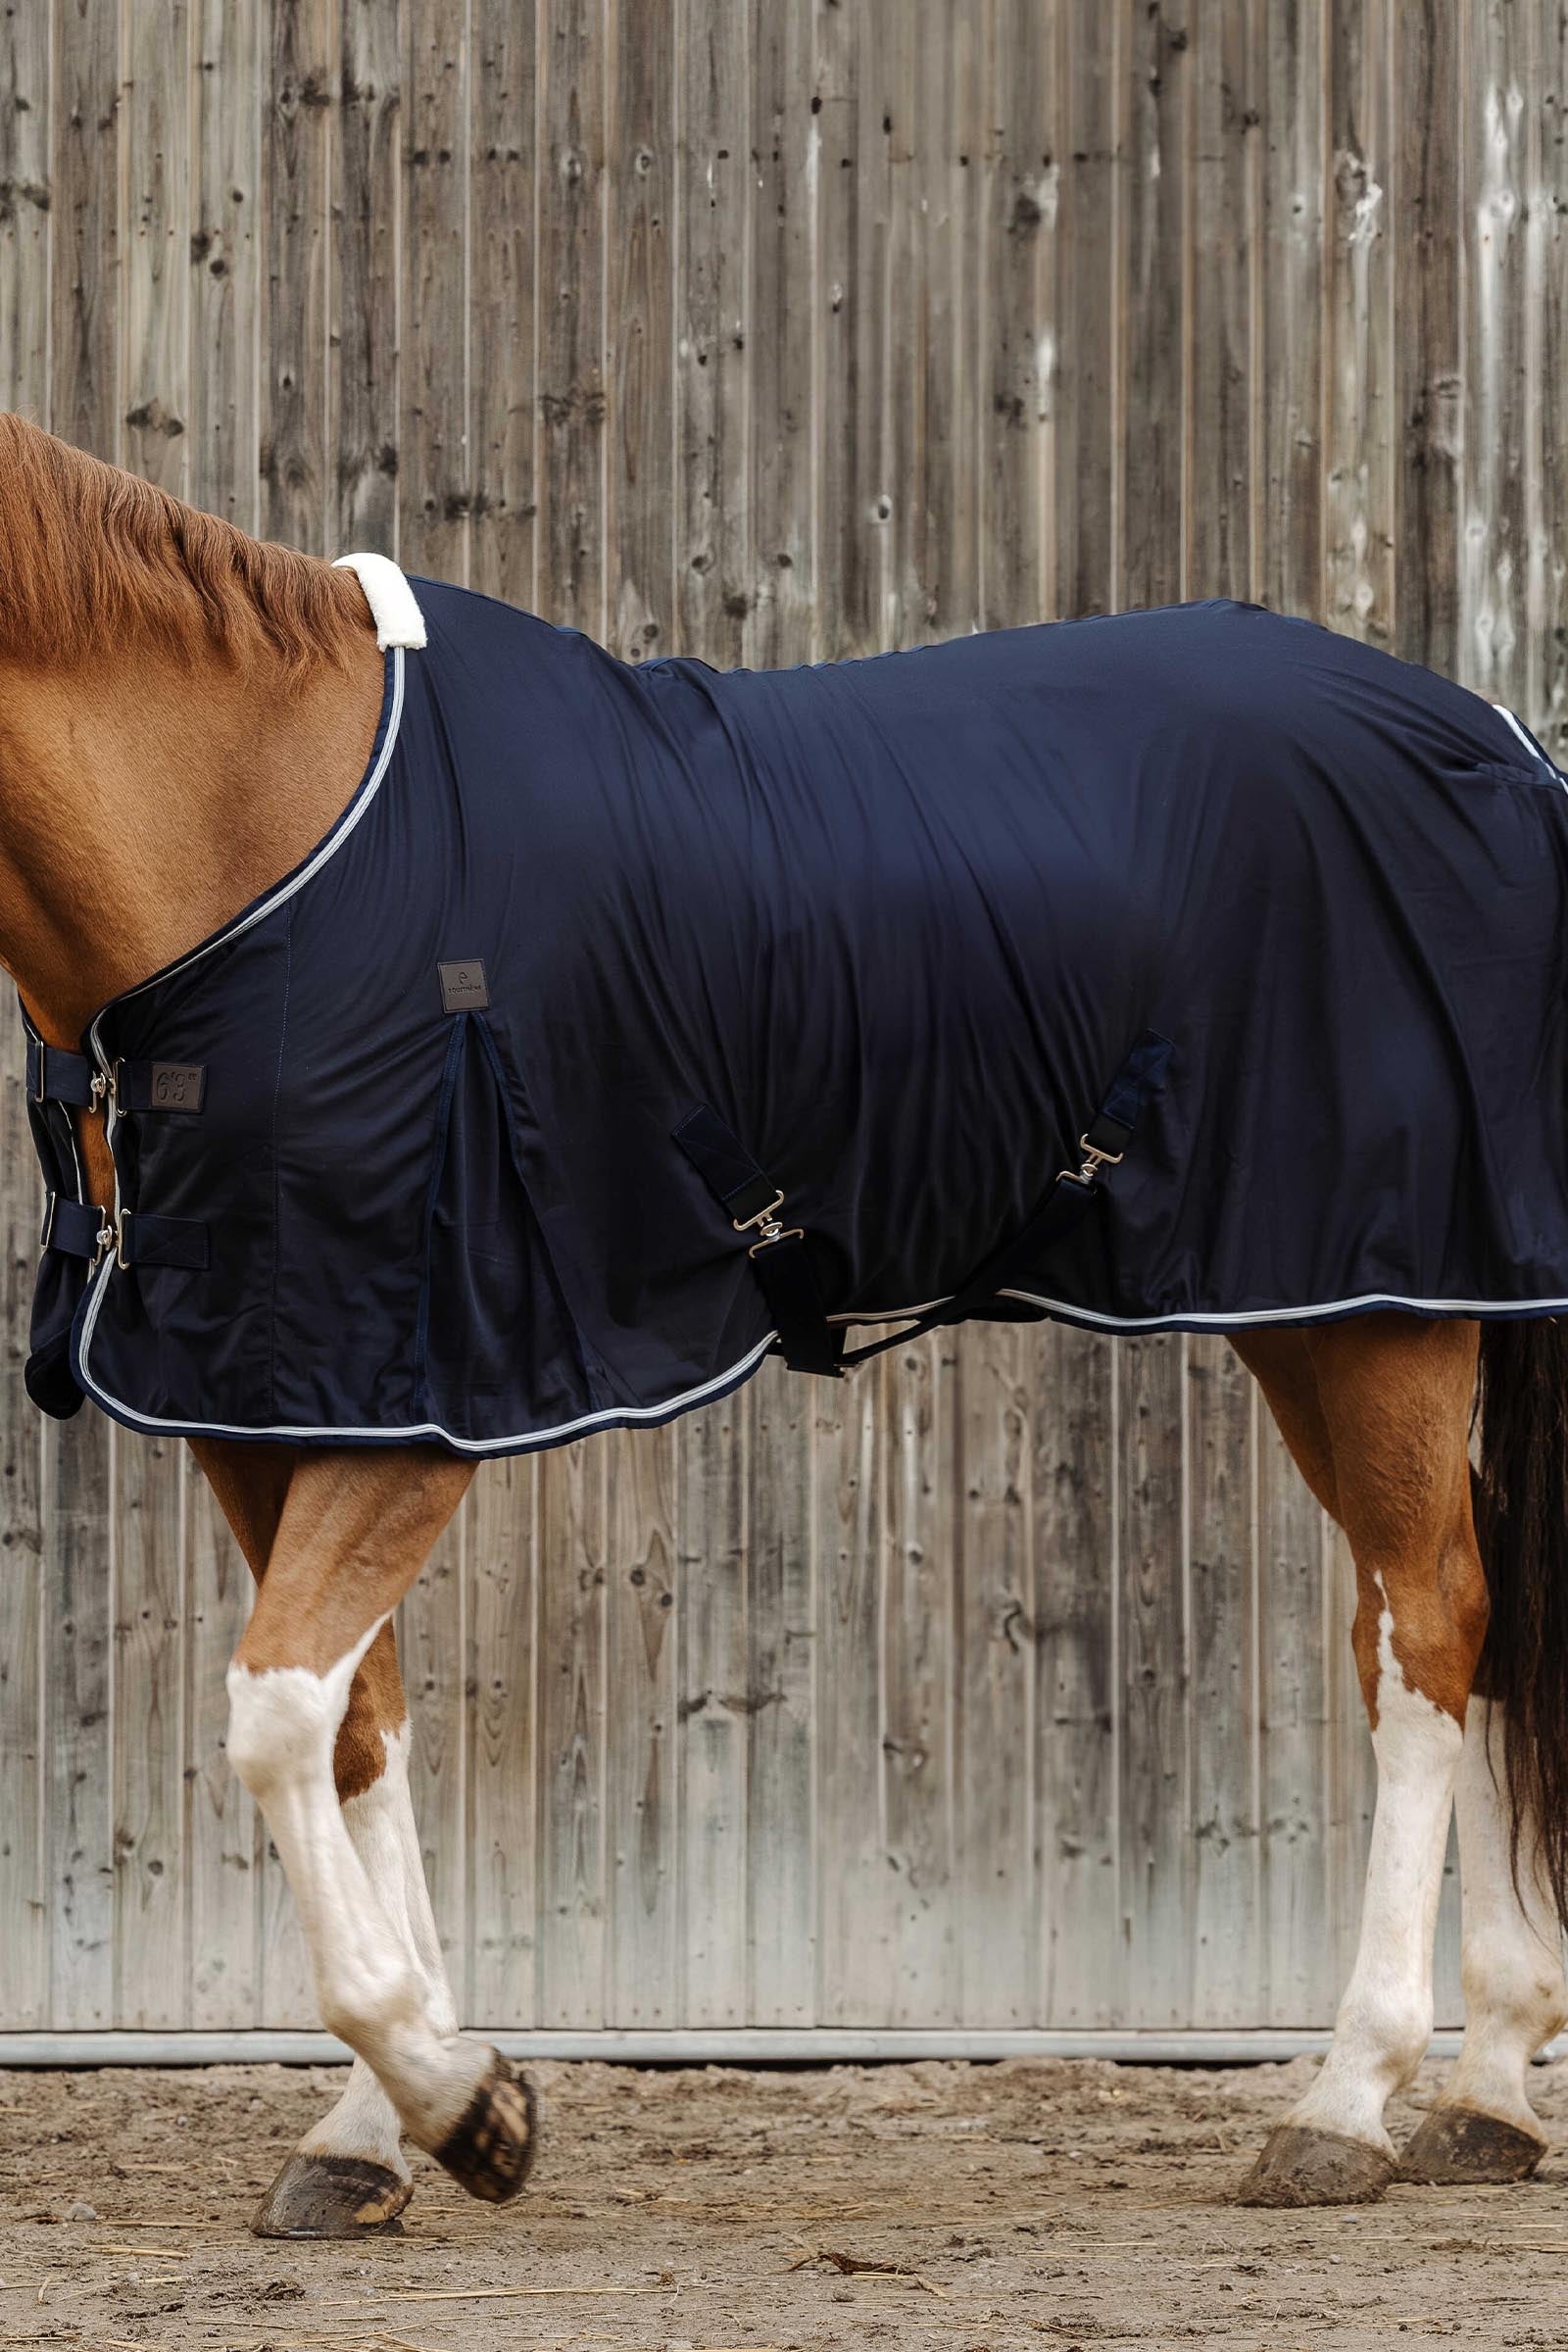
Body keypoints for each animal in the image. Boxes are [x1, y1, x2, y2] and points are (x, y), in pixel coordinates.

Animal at [2, 411, 1565, 2239]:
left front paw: (461, 2102)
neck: (261, 836)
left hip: (1377, 1313)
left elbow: (271, 1720)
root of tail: (1495, 746)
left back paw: (1349, 2100)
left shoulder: (431, 1391)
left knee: (1430, 1629)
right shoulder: (277, 1392)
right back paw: (1485, 2090)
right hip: (1327, 1306)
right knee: (1458, 1610)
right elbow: (354, 1726)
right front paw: (372, 2134)